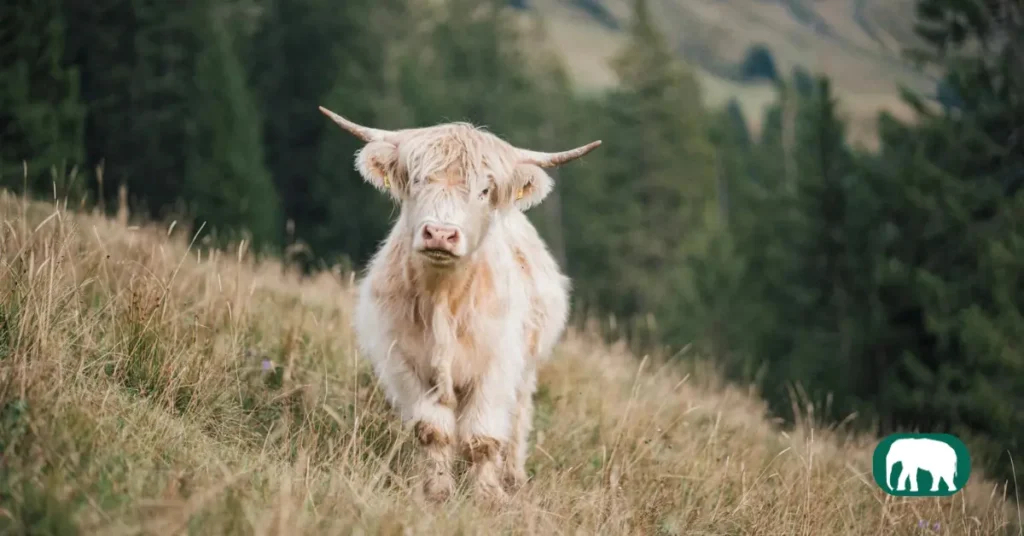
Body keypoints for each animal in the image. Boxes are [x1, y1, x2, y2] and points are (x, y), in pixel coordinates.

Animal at [319, 105, 601, 504]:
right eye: (417, 179)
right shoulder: (405, 363)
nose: (440, 233)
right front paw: (437, 491)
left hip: (527, 367)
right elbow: (433, 431)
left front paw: (488, 496)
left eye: (484, 190)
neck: (443, 299)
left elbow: (482, 438)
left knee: (517, 419)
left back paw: (513, 476)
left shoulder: (496, 366)